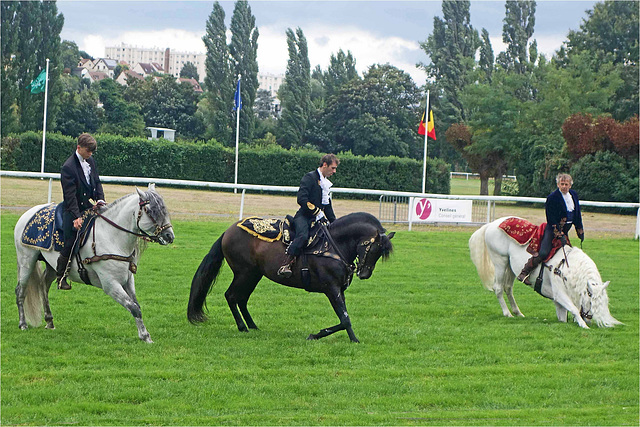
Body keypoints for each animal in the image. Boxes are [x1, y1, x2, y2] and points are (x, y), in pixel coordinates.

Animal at [14, 184, 175, 344]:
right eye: (150, 210)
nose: (169, 236)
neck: (112, 237)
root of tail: (28, 214)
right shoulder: (111, 285)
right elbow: (133, 307)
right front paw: (145, 336)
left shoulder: (128, 280)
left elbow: (137, 306)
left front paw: (144, 335)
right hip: (26, 261)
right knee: (20, 291)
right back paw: (22, 324)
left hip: (52, 267)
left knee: (43, 286)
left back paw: (49, 321)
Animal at [188, 212, 392, 342]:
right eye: (374, 248)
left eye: (379, 252)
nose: (364, 273)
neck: (332, 245)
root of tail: (228, 231)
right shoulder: (331, 288)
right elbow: (345, 318)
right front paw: (341, 338)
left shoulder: (339, 290)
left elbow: (344, 318)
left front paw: (342, 337)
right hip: (244, 273)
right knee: (231, 296)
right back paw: (242, 327)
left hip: (254, 275)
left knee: (242, 299)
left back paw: (252, 325)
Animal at [470, 216, 620, 330]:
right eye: (590, 301)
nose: (589, 319)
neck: (564, 267)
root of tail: (492, 224)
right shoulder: (559, 295)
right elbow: (573, 308)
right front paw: (584, 325)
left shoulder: (558, 302)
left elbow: (563, 316)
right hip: (500, 262)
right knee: (498, 288)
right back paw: (507, 313)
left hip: (511, 267)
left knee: (508, 288)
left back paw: (518, 312)